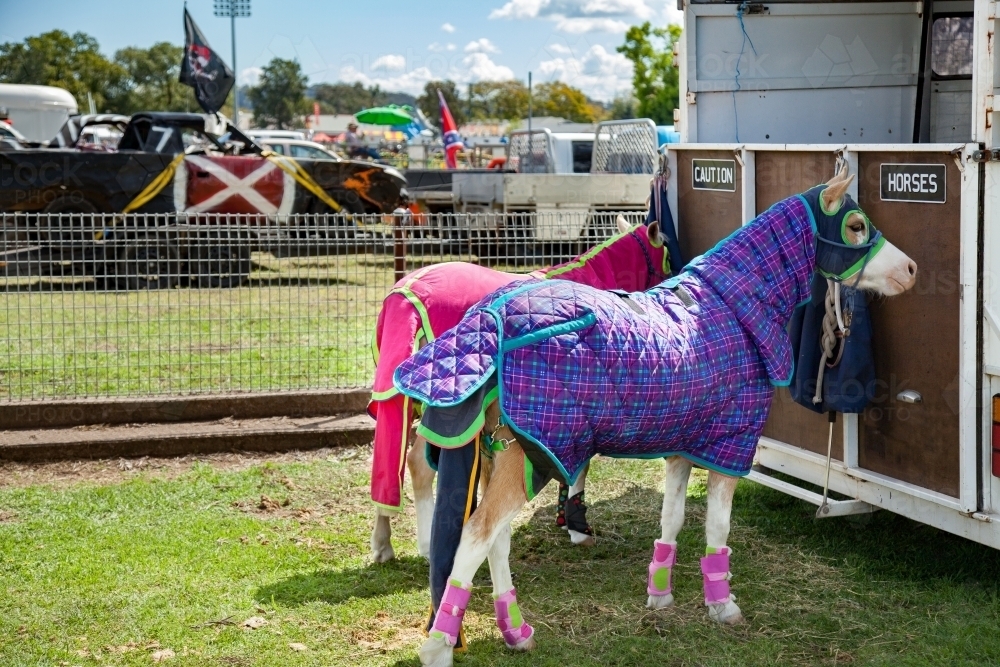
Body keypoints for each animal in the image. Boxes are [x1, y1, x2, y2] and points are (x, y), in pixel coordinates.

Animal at [368, 216, 672, 562]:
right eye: (666, 254)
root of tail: (404, 293)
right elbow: (580, 464)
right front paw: (577, 528)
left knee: (388, 461)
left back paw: (382, 544)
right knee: (417, 462)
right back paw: (427, 547)